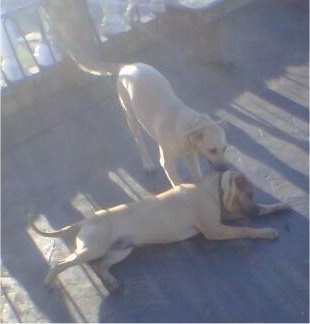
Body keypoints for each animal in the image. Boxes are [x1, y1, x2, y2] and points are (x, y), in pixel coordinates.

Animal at [28, 171, 288, 292]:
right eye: (249, 194)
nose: (254, 210)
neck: (214, 188)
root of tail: (85, 219)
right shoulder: (216, 229)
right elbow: (245, 229)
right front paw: (266, 231)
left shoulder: (224, 218)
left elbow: (260, 212)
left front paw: (277, 206)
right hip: (93, 248)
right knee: (61, 263)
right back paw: (49, 281)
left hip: (123, 249)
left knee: (101, 266)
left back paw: (111, 282)